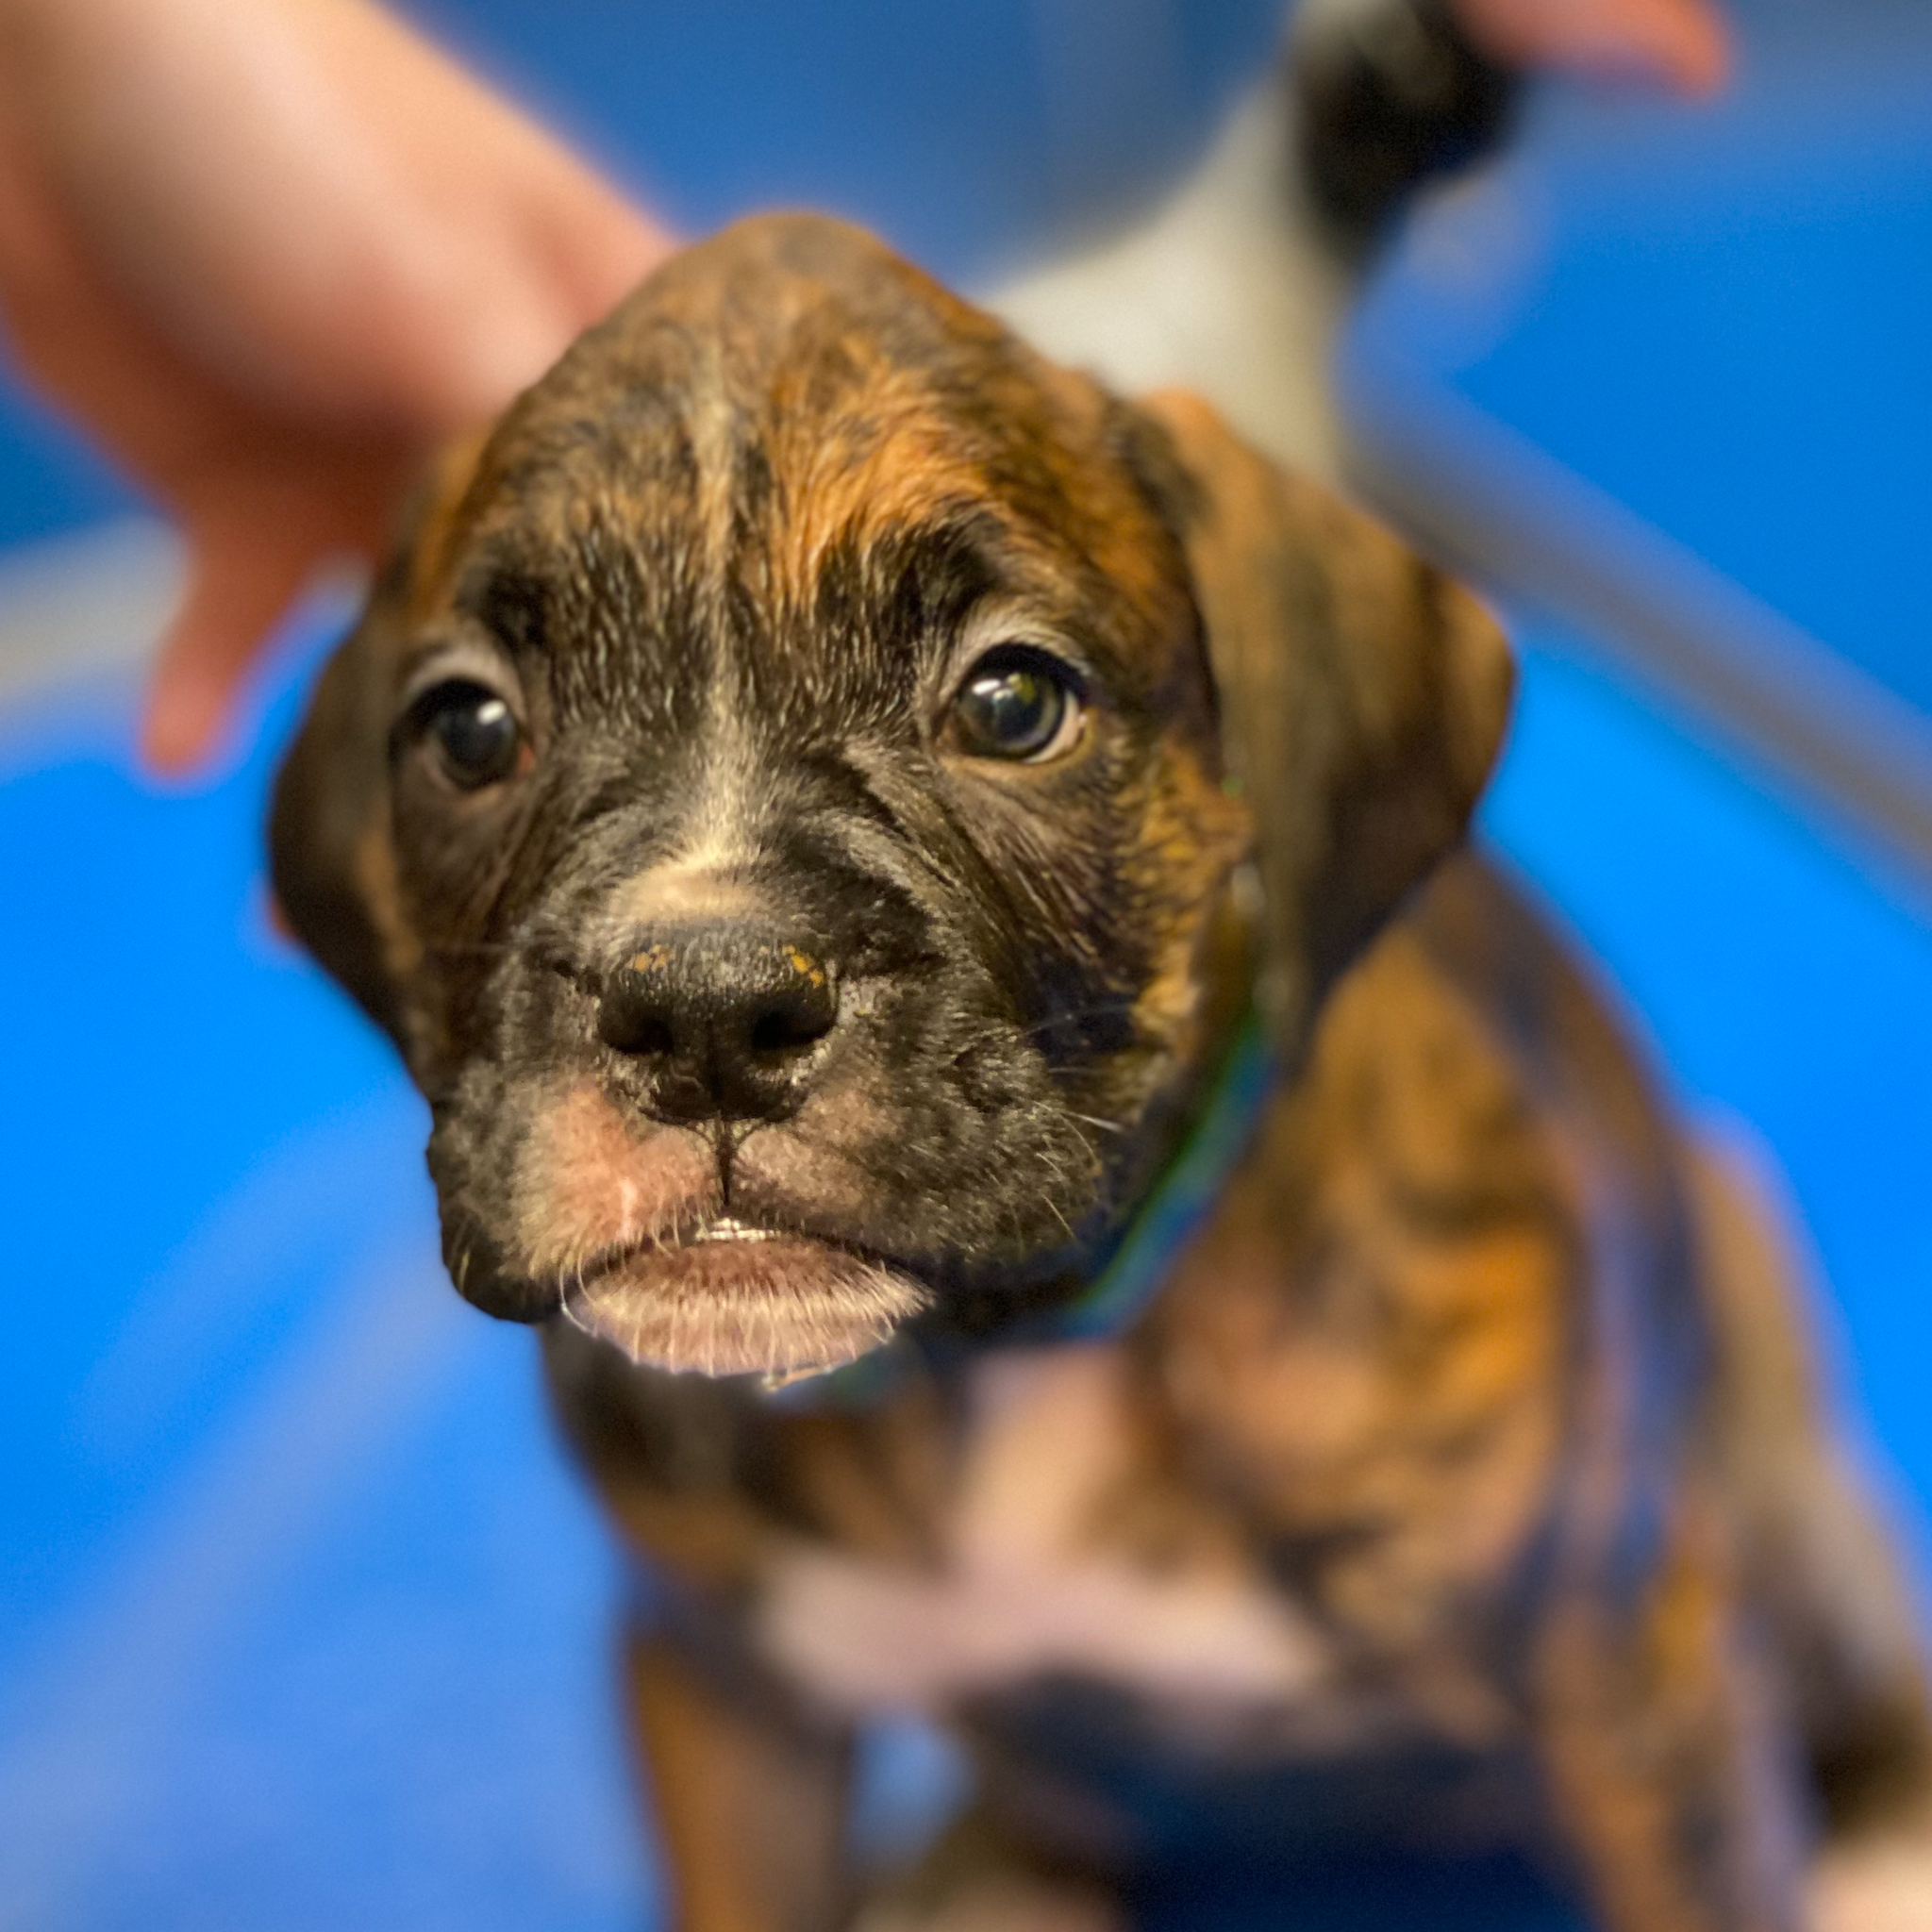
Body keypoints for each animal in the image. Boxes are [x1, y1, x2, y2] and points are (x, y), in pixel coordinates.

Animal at [268, 211, 1932, 1932]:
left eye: (1014, 704)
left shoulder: (1630, 1672)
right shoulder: (722, 1681)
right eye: (469, 730)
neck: (1000, 1367)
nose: (706, 1002)